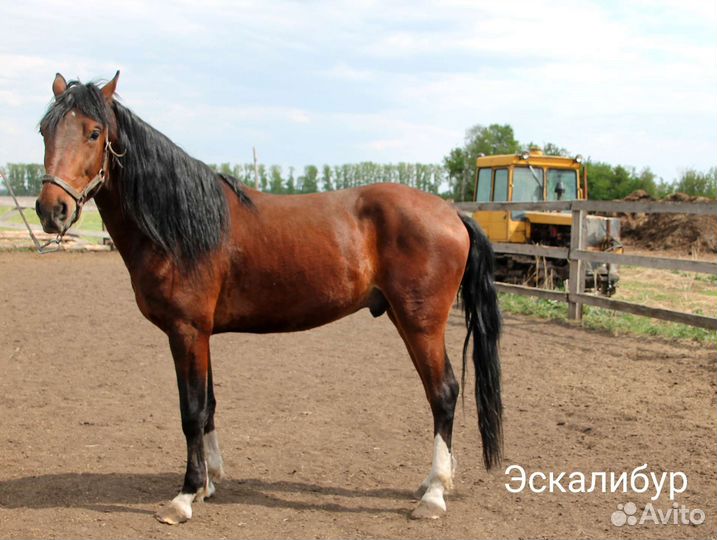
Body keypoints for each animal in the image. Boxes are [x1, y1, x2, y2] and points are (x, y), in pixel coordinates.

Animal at [35, 71, 502, 524]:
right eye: (44, 130)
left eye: (94, 132)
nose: (51, 209)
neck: (181, 224)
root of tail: (451, 212)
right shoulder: (202, 334)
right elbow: (209, 405)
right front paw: (208, 483)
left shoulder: (186, 331)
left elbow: (191, 411)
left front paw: (185, 496)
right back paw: (432, 485)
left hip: (421, 324)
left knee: (443, 393)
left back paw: (434, 495)